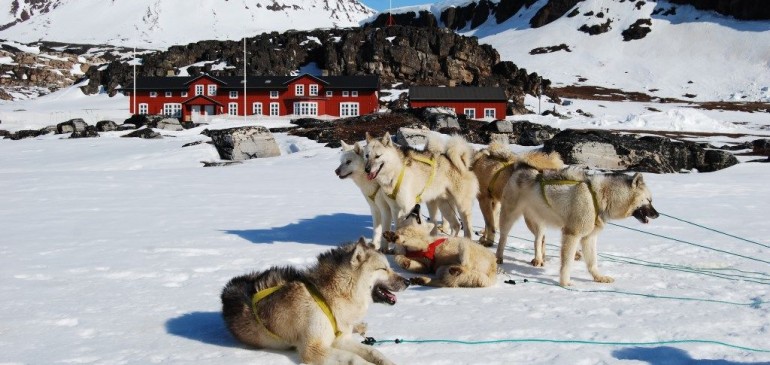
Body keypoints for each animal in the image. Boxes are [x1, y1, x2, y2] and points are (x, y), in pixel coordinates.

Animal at [219, 237, 412, 362]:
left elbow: (374, 352)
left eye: (389, 267)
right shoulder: (314, 349)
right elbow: (355, 359)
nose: (408, 281)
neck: (328, 297)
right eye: (383, 269)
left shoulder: (341, 339)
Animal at [496, 166, 656, 286]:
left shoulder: (588, 238)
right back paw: (499, 257)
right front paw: (565, 283)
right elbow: (567, 264)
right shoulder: (572, 234)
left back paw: (539, 259)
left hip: (540, 222)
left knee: (538, 239)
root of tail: (520, 169)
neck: (599, 196)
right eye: (649, 200)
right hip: (509, 217)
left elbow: (592, 263)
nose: (657, 214)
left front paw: (599, 277)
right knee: (503, 237)